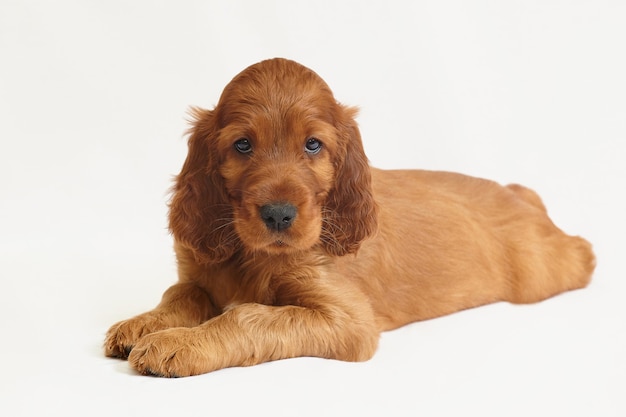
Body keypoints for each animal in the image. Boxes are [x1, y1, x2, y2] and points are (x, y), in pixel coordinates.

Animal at [103, 57, 596, 376]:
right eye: (242, 145)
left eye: (313, 145)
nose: (279, 215)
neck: (251, 256)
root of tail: (517, 194)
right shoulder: (197, 271)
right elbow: (179, 293)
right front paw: (143, 323)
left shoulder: (349, 320)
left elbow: (248, 316)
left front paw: (178, 343)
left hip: (539, 269)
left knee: (579, 251)